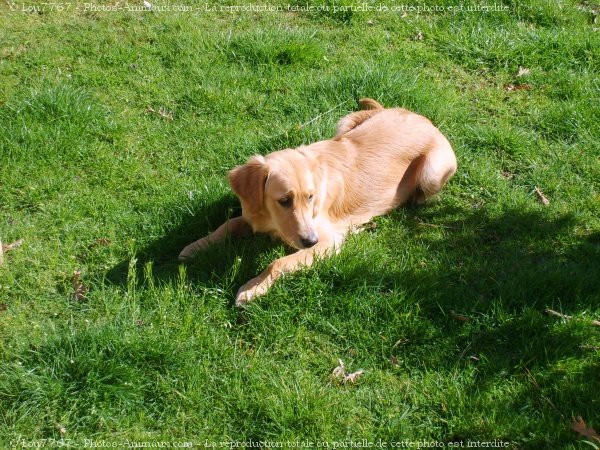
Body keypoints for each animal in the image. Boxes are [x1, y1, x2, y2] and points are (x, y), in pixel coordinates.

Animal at [178, 99, 454, 306]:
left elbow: (278, 262)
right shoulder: (251, 215)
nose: (310, 241)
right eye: (284, 200)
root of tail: (421, 117)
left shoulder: (328, 241)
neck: (270, 220)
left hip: (431, 174)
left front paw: (253, 287)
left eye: (310, 197)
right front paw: (194, 247)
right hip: (344, 124)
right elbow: (225, 226)